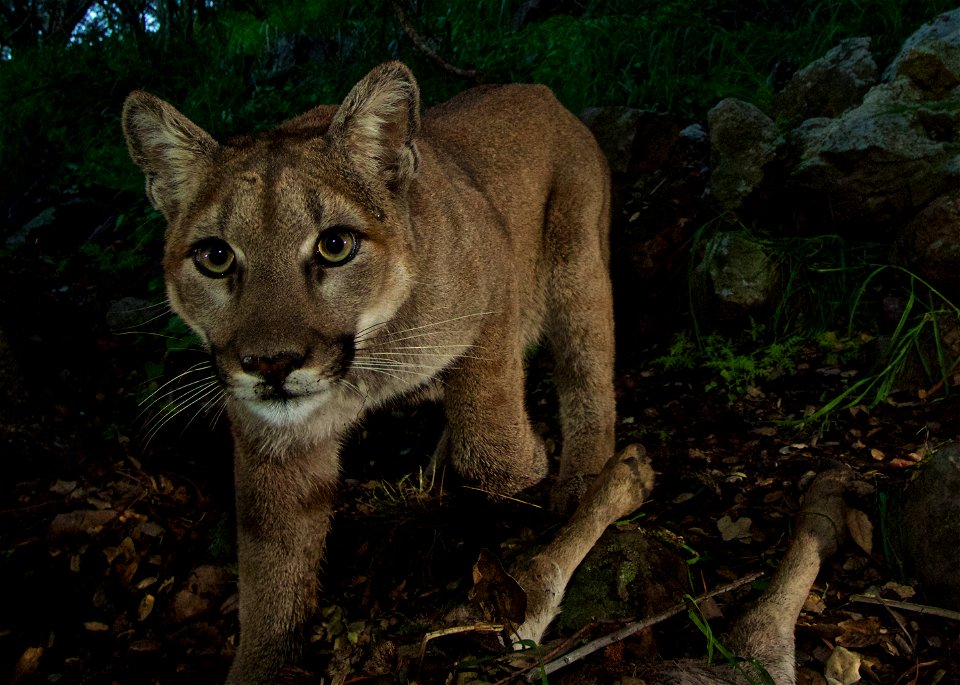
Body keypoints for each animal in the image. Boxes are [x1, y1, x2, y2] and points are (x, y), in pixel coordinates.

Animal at [122, 61, 616, 680]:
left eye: (335, 245)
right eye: (215, 257)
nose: (270, 364)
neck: (365, 367)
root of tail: (537, 90)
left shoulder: (494, 281)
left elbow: (492, 447)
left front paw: (521, 493)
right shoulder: (273, 440)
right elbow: (271, 571)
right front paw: (264, 666)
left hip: (578, 267)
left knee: (589, 372)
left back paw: (582, 480)